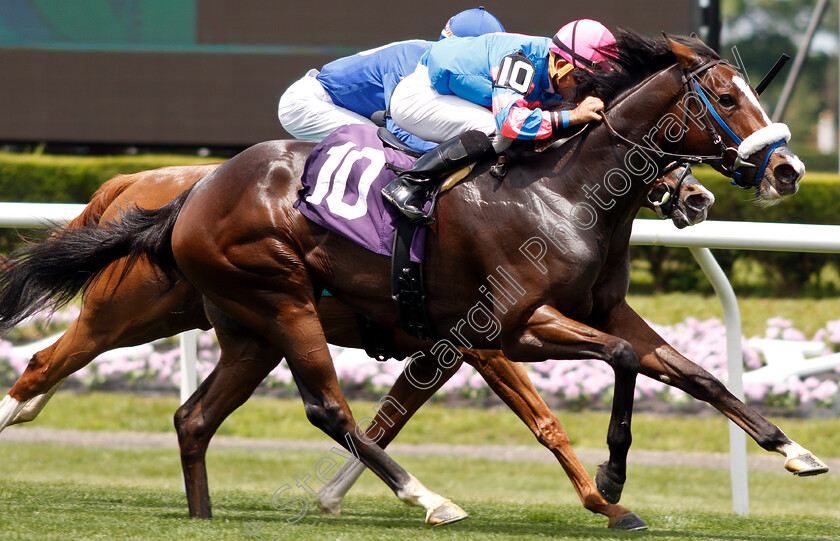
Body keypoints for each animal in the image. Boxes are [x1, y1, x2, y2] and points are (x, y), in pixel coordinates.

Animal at [0, 31, 828, 524]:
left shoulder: (593, 313)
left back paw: (204, 516)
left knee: (193, 417)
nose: (787, 169)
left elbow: (692, 373)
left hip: (244, 327)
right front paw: (609, 490)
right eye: (728, 98)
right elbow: (569, 402)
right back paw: (428, 496)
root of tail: (187, 192)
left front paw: (795, 450)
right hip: (237, 306)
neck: (561, 192)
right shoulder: (503, 330)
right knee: (315, 404)